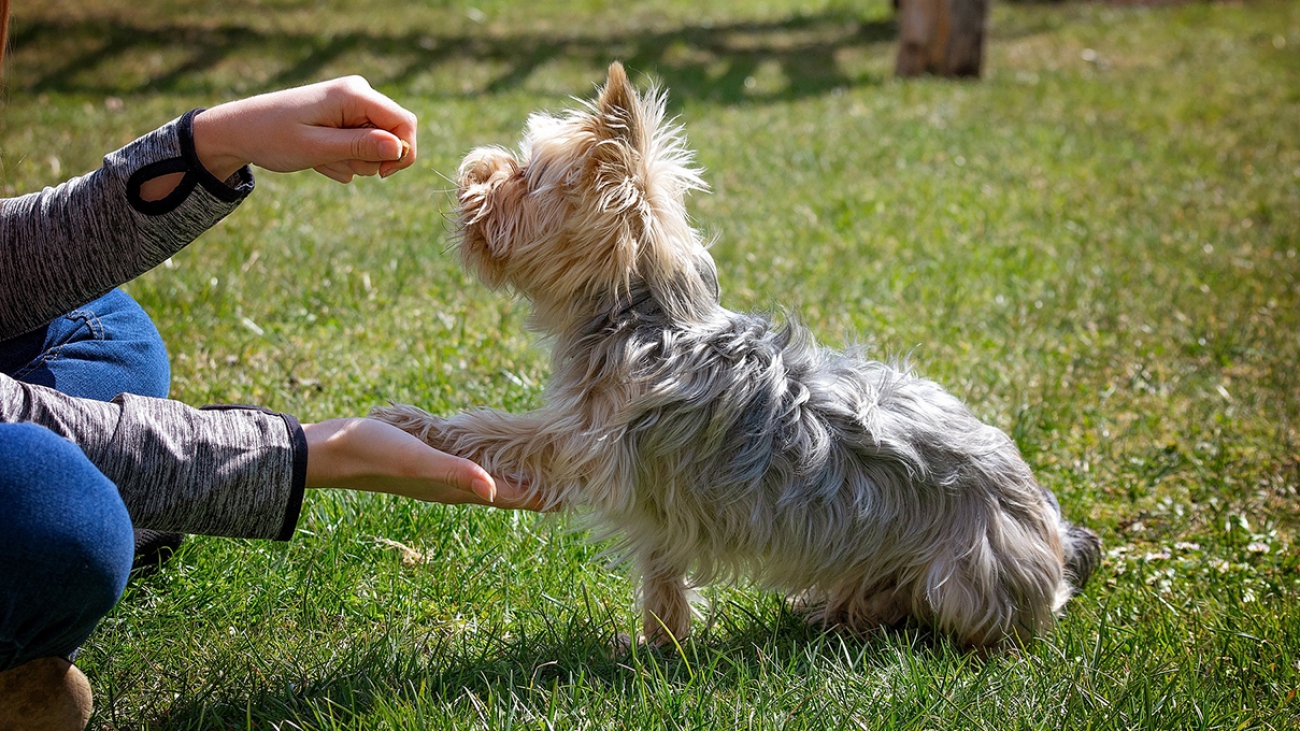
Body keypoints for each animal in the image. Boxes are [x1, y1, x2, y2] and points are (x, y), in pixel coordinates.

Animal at [374, 61, 1097, 642]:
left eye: (525, 176)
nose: (475, 166)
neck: (640, 315)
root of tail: (1052, 535)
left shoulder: (583, 442)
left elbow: (496, 430)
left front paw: (410, 423)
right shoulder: (654, 501)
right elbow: (663, 574)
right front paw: (660, 646)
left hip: (964, 578)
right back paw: (834, 609)